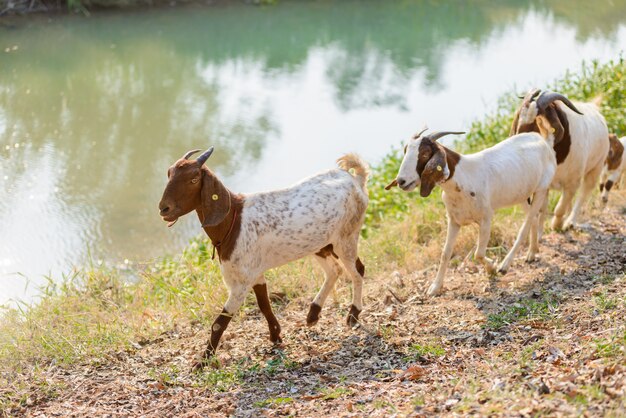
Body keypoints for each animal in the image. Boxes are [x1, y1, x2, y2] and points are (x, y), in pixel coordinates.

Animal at [158, 147, 368, 370]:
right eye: (169, 174)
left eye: (194, 178)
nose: (164, 209)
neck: (233, 221)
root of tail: (357, 179)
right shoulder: (254, 273)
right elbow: (264, 304)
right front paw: (276, 335)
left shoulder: (241, 283)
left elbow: (219, 323)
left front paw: (202, 361)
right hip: (320, 244)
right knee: (334, 270)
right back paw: (313, 314)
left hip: (346, 236)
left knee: (357, 270)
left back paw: (352, 315)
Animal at [386, 121, 556, 298]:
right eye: (405, 150)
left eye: (425, 153)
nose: (401, 181)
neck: (462, 177)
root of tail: (542, 140)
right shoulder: (454, 221)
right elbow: (445, 253)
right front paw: (434, 288)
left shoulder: (486, 218)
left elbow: (478, 253)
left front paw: (492, 268)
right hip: (521, 195)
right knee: (533, 218)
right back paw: (532, 253)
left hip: (541, 188)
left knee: (527, 223)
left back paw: (505, 265)